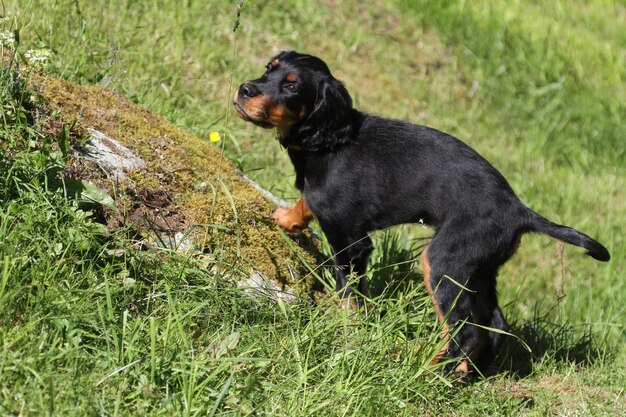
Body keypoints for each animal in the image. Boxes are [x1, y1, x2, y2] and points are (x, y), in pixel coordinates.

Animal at [232, 50, 608, 372]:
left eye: (292, 85)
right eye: (269, 68)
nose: (244, 89)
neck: (329, 142)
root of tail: (519, 210)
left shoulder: (351, 242)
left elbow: (351, 296)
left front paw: (346, 331)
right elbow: (307, 202)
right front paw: (287, 218)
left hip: (445, 262)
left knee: (465, 333)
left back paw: (427, 369)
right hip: (478, 268)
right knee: (493, 327)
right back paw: (467, 373)